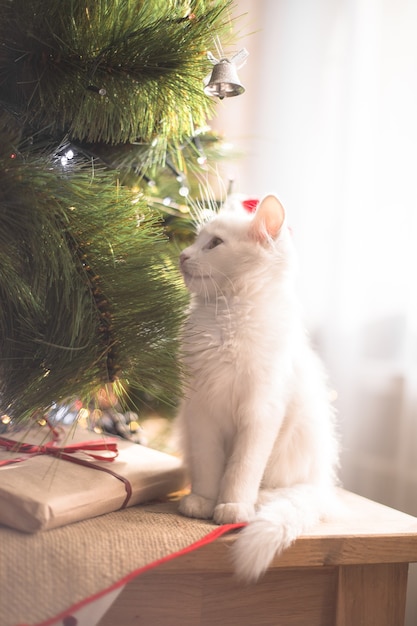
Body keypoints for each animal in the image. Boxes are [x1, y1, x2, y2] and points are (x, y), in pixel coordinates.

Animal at [176, 195, 338, 580]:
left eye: (214, 243)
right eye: (196, 239)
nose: (183, 256)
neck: (227, 317)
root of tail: (322, 484)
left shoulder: (260, 412)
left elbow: (240, 469)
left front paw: (232, 505)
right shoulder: (201, 411)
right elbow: (208, 466)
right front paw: (204, 501)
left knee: (275, 489)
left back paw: (258, 501)